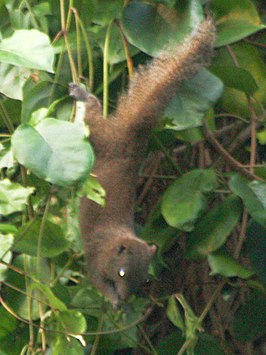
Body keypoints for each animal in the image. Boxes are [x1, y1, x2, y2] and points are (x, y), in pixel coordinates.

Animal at [69, 18, 216, 308]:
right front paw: (113, 301)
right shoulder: (96, 256)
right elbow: (97, 280)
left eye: (145, 279)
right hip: (99, 138)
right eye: (122, 272)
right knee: (91, 113)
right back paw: (81, 94)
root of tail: (129, 141)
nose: (125, 300)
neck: (114, 242)